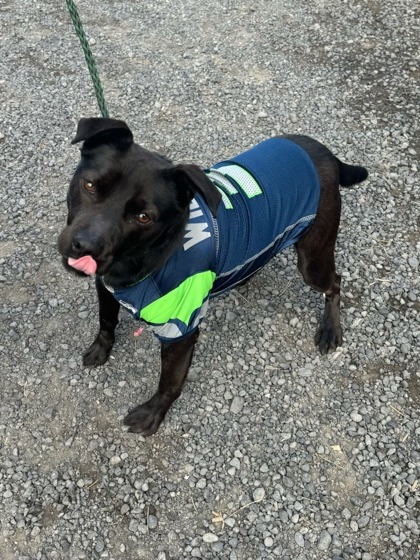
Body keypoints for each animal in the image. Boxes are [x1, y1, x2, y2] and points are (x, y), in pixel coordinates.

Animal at [58, 117, 368, 434]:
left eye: (144, 217)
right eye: (90, 185)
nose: (85, 245)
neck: (148, 257)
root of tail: (326, 154)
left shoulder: (180, 331)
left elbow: (170, 382)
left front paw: (153, 413)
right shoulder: (105, 287)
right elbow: (106, 320)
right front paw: (101, 349)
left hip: (313, 261)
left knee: (335, 283)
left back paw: (330, 328)